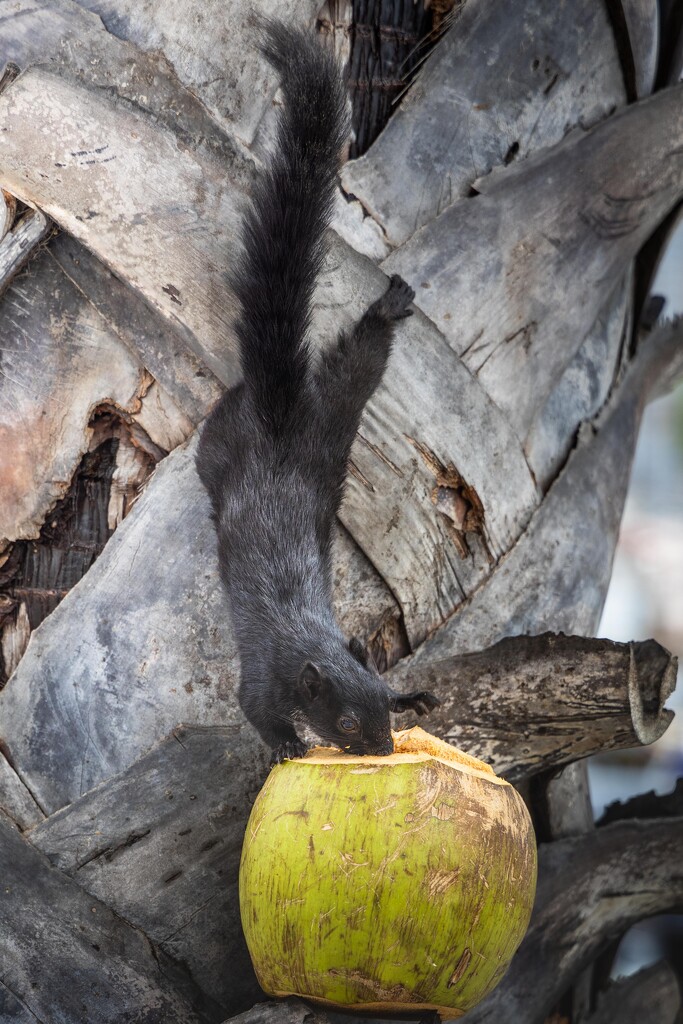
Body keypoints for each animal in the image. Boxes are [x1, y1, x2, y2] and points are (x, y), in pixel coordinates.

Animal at [194, 19, 440, 765]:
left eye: (383, 706)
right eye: (349, 725)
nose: (386, 749)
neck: (311, 641)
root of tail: (280, 418)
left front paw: (419, 695)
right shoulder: (265, 677)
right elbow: (255, 710)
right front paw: (286, 749)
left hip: (332, 423)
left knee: (361, 357)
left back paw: (390, 307)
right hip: (254, 439)